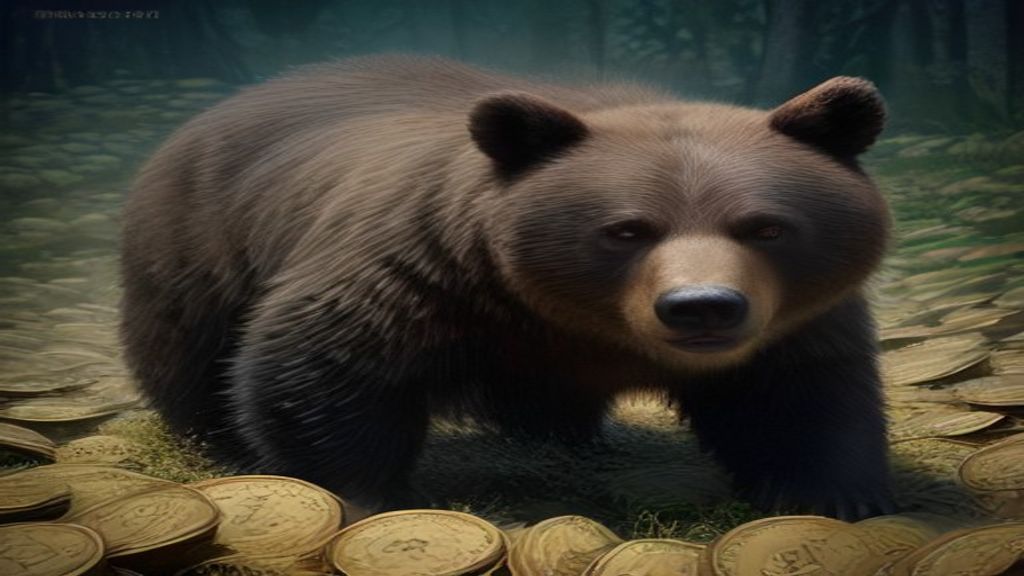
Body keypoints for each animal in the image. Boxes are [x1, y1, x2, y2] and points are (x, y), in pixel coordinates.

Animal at [120, 55, 894, 520]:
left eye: (765, 226)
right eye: (627, 229)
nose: (700, 308)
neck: (567, 315)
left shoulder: (793, 319)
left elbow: (797, 393)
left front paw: (830, 493)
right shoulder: (420, 273)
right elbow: (322, 366)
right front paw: (365, 493)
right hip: (200, 242)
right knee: (192, 353)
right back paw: (218, 440)